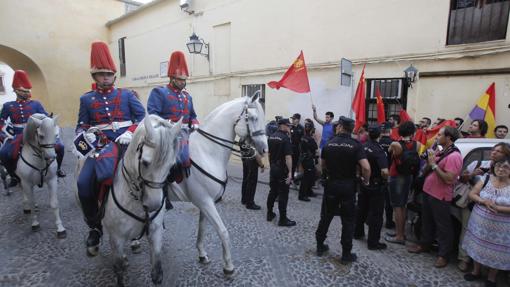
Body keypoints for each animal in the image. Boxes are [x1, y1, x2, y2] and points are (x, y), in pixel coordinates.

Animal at [101, 116, 181, 286]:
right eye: (144, 162)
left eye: (171, 165)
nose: (154, 204)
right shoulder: (117, 237)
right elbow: (119, 271)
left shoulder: (155, 231)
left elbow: (157, 272)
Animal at [167, 93, 266, 276]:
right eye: (253, 118)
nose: (264, 149)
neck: (207, 151)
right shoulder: (204, 201)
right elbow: (223, 231)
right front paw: (228, 265)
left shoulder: (206, 201)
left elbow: (202, 228)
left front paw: (202, 254)